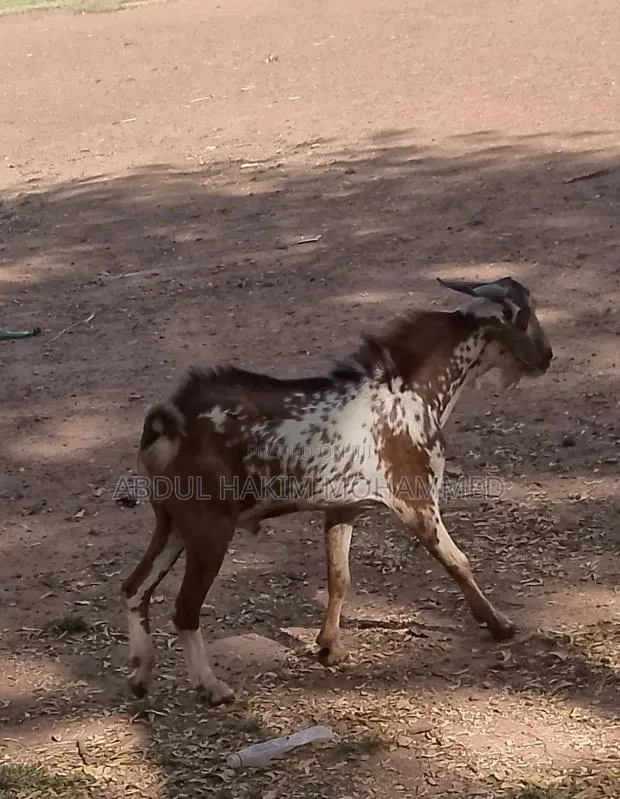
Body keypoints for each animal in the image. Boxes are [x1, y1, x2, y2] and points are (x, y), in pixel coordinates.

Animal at [121, 276, 553, 705]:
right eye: (524, 316)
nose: (547, 357)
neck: (411, 390)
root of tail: (169, 422)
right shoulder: (415, 501)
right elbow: (457, 561)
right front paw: (498, 624)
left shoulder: (344, 508)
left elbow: (339, 576)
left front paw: (329, 647)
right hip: (209, 529)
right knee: (184, 609)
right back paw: (210, 686)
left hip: (174, 523)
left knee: (134, 588)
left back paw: (141, 674)